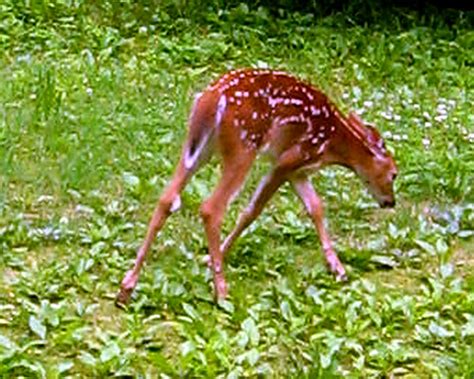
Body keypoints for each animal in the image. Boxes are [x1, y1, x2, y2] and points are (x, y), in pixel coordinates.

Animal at [115, 68, 396, 306]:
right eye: (394, 174)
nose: (390, 202)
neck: (333, 143)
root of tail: (211, 99)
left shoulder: (298, 171)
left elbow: (315, 207)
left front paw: (337, 268)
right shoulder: (288, 160)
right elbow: (253, 210)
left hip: (197, 147)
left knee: (167, 198)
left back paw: (126, 287)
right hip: (243, 146)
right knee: (211, 208)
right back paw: (222, 291)